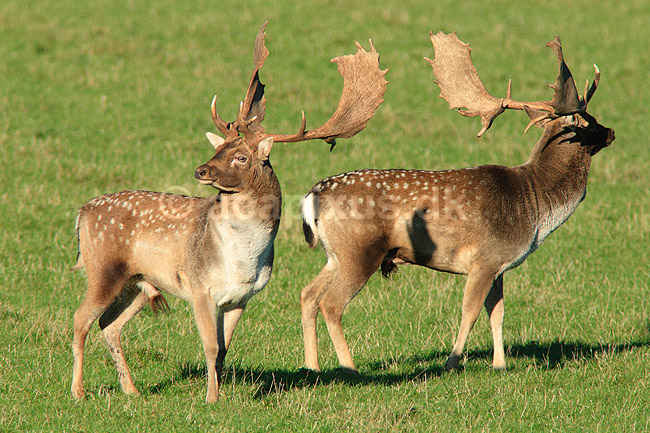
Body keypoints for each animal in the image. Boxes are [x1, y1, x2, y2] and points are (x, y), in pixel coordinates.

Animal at [70, 22, 388, 403]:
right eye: (219, 146)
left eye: (241, 157)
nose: (201, 170)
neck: (241, 263)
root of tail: (83, 213)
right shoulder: (200, 288)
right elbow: (209, 347)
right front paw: (210, 399)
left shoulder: (240, 299)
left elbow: (223, 349)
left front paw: (219, 394)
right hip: (102, 269)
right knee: (79, 320)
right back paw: (78, 391)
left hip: (138, 281)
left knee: (109, 325)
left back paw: (131, 390)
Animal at [299, 31, 614, 374]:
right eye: (588, 120)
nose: (611, 131)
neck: (534, 201)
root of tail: (314, 194)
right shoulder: (485, 258)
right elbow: (471, 311)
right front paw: (452, 361)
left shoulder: (500, 265)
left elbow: (497, 312)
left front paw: (499, 364)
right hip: (359, 253)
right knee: (331, 303)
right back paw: (349, 368)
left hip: (335, 255)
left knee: (308, 294)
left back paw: (313, 366)